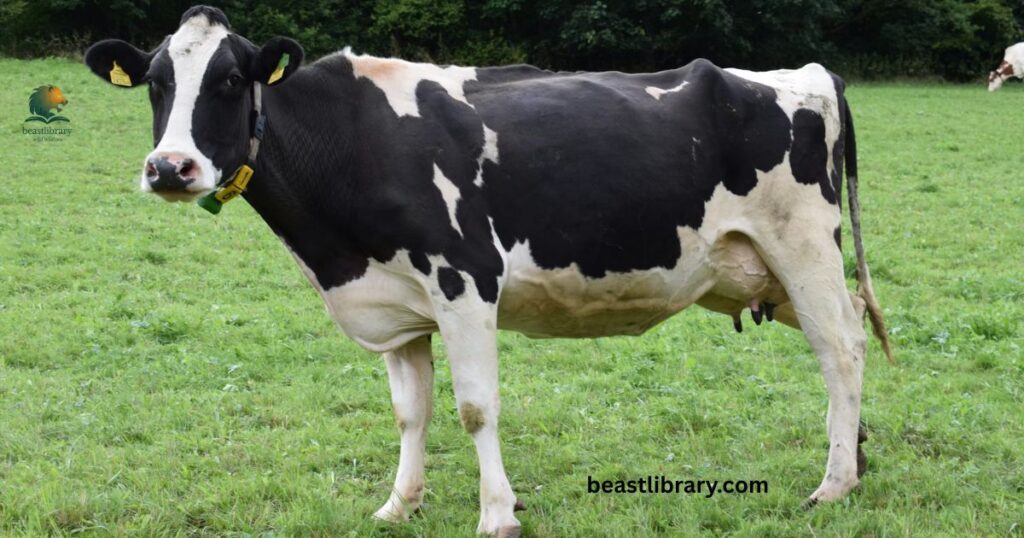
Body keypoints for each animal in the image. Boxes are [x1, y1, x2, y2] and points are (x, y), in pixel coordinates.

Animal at [84, 6, 894, 535]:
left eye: (228, 80)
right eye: (156, 82)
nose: (170, 167)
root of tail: (805, 74)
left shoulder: (465, 280)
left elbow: (475, 408)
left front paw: (497, 515)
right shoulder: (398, 303)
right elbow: (410, 411)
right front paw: (399, 504)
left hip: (804, 248)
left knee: (842, 350)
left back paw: (831, 486)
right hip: (769, 271)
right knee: (847, 340)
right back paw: (855, 459)